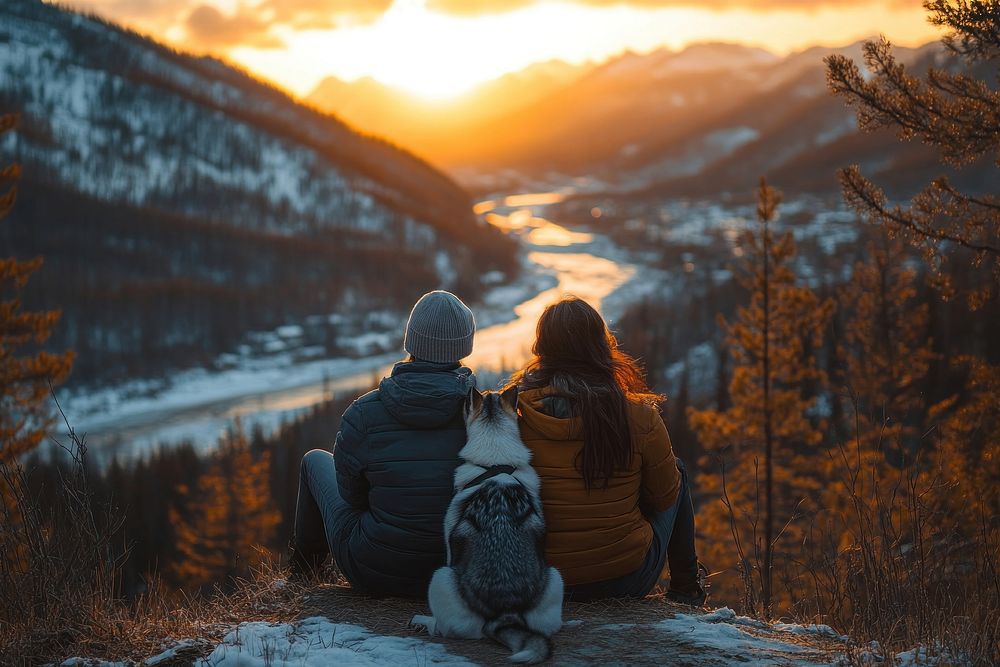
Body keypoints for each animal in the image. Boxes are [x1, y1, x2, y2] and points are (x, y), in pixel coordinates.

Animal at [408, 386, 564, 664]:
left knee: (446, 628)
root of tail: (506, 612)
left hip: (441, 577)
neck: (495, 463)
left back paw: (423, 621)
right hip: (555, 577)